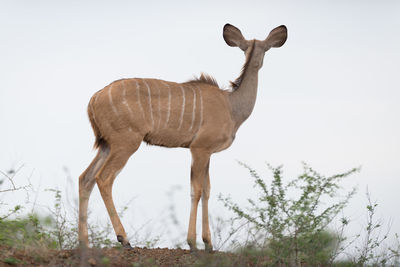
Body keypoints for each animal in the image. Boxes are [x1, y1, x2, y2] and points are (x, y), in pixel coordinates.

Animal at [78, 24, 288, 252]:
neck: (231, 106)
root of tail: (94, 99)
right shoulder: (199, 148)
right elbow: (196, 190)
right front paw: (193, 243)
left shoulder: (208, 152)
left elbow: (207, 190)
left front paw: (208, 244)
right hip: (125, 143)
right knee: (103, 178)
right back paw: (124, 239)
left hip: (107, 145)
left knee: (85, 178)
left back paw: (84, 243)